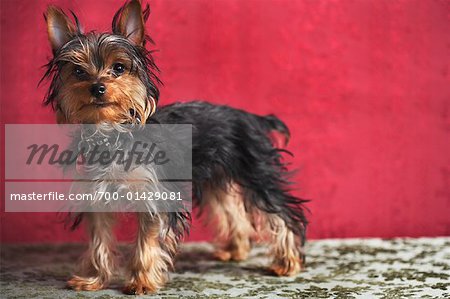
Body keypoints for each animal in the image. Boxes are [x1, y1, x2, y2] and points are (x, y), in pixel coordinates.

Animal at [42, 0, 308, 296]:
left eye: (119, 68)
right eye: (78, 71)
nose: (97, 87)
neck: (111, 132)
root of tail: (253, 118)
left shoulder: (153, 195)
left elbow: (147, 241)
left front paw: (141, 281)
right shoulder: (95, 196)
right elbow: (98, 240)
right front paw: (93, 279)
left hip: (257, 173)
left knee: (281, 213)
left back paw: (287, 263)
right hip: (216, 178)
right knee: (232, 210)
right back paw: (235, 250)